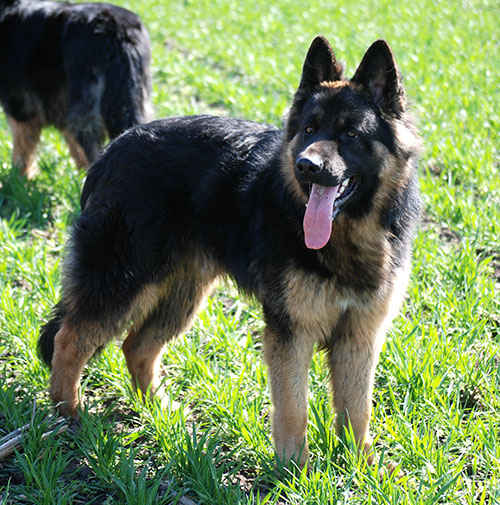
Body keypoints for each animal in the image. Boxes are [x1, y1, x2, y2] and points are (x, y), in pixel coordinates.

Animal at [0, 0, 153, 178]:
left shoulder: (21, 109)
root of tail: (116, 30)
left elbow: (22, 149)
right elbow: (74, 149)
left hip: (86, 115)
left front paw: (18, 178)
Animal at [38, 36, 421, 469]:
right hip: (123, 282)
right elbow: (294, 407)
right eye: (309, 129)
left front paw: (361, 465)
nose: (305, 166)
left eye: (351, 135)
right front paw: (295, 471)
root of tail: (112, 150)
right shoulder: (291, 332)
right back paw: (69, 416)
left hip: (181, 294)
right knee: (69, 339)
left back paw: (160, 413)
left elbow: (357, 408)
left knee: (136, 347)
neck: (347, 235)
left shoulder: (359, 337)